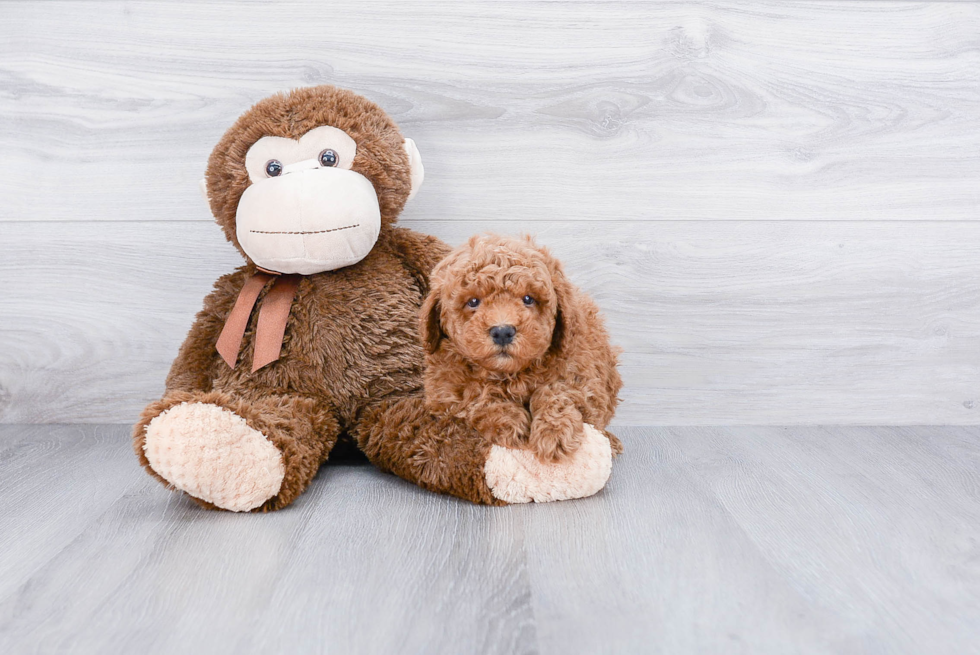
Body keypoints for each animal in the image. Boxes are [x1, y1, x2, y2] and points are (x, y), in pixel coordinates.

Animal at [420, 233, 620, 464]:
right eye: (473, 301)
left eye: (528, 299)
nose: (503, 331)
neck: (510, 375)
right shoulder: (444, 394)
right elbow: (474, 399)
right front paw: (511, 422)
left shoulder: (585, 379)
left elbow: (558, 390)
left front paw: (555, 433)